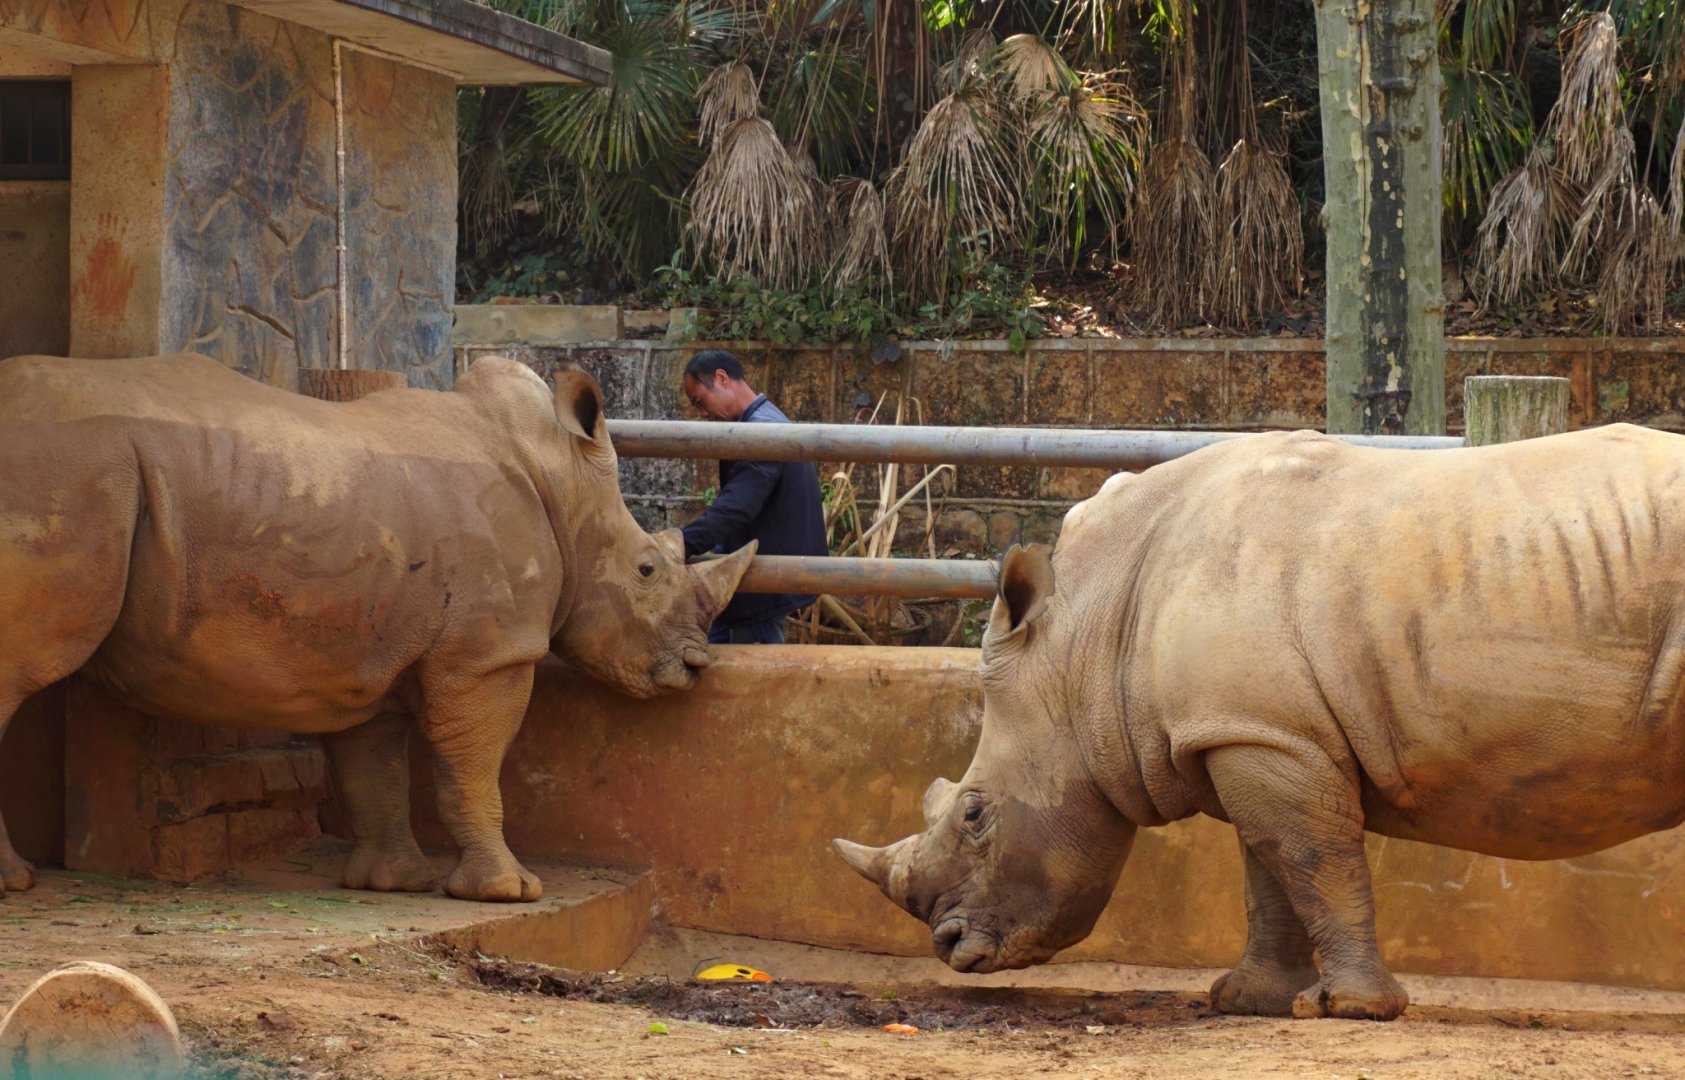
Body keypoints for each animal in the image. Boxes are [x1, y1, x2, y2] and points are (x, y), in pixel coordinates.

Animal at [0, 352, 754, 903]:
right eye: (647, 569)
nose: (697, 666)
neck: (562, 485)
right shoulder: (488, 655)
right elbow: (473, 764)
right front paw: (509, 891)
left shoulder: (373, 647)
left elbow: (374, 765)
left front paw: (392, 883)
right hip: (67, 474)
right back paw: (17, 885)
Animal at [836, 424, 1685, 1020]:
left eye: (975, 814)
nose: (948, 947)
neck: (1087, 638)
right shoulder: (1249, 730)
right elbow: (1268, 868)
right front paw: (1248, 1001)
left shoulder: (1262, 732)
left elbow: (1311, 859)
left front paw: (1351, 1010)